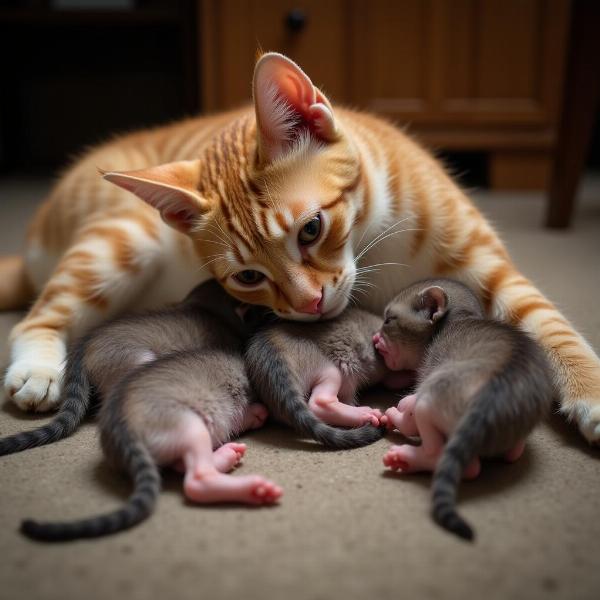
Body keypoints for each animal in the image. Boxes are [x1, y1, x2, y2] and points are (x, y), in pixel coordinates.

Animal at [372, 278, 556, 540]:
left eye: (388, 319)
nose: (375, 339)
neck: (459, 319)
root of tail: (495, 399)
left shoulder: (430, 366)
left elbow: (409, 404)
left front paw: (398, 412)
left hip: (433, 396)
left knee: (463, 463)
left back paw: (408, 455)